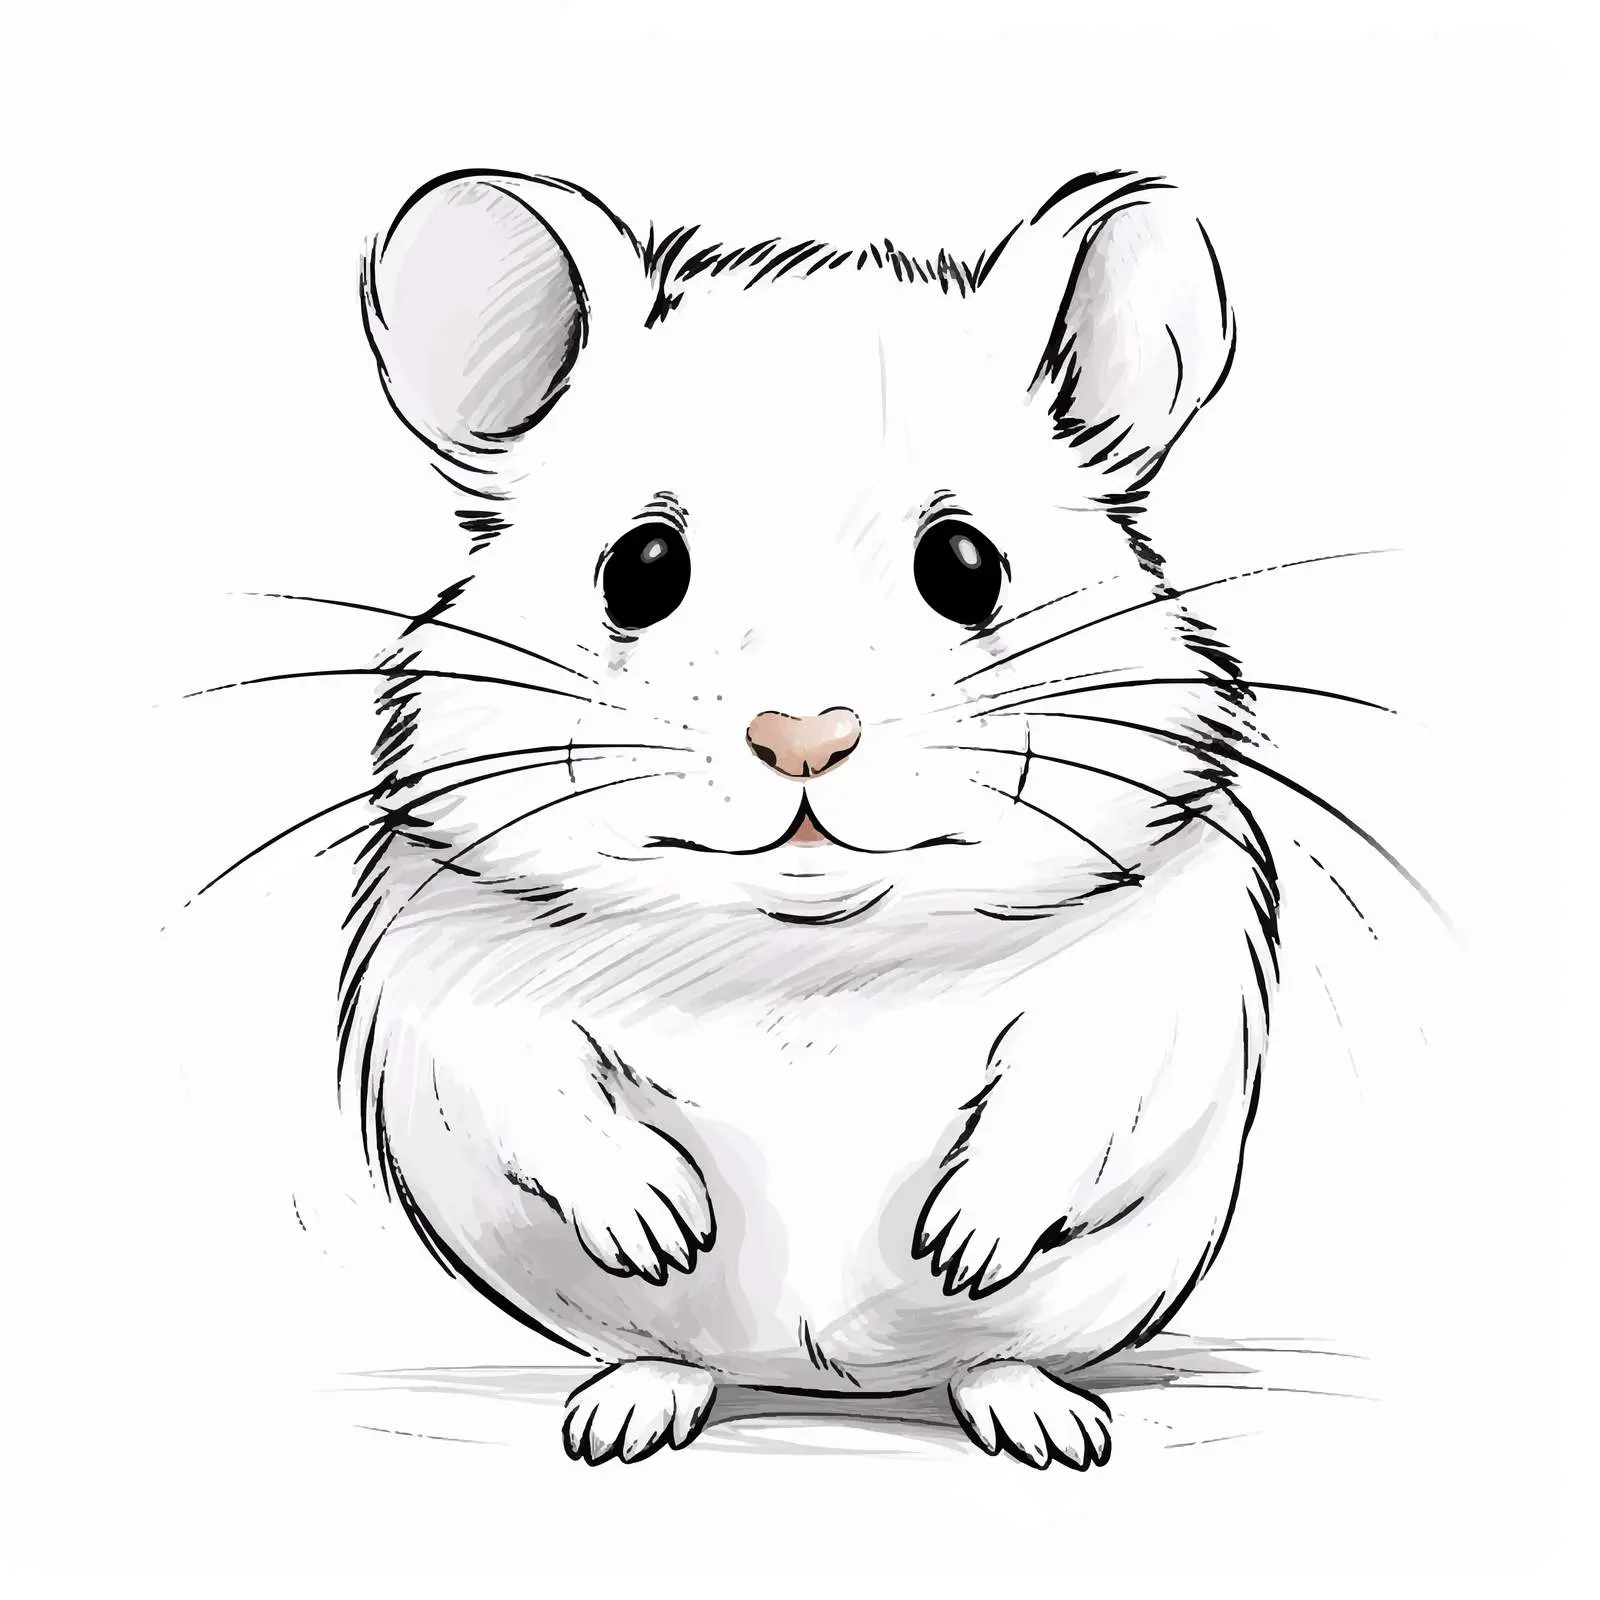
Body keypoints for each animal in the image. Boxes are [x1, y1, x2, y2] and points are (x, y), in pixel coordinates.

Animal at [343, 166, 1276, 1469]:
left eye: (964, 566)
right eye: (640, 567)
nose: (803, 736)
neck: (806, 954)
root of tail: (825, 1381)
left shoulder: (1158, 966)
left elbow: (1077, 1083)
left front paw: (957, 1244)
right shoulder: (445, 964)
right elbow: (533, 1080)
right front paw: (666, 1225)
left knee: (994, 1354)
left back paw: (1044, 1421)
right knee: (663, 1352)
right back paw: (623, 1415)